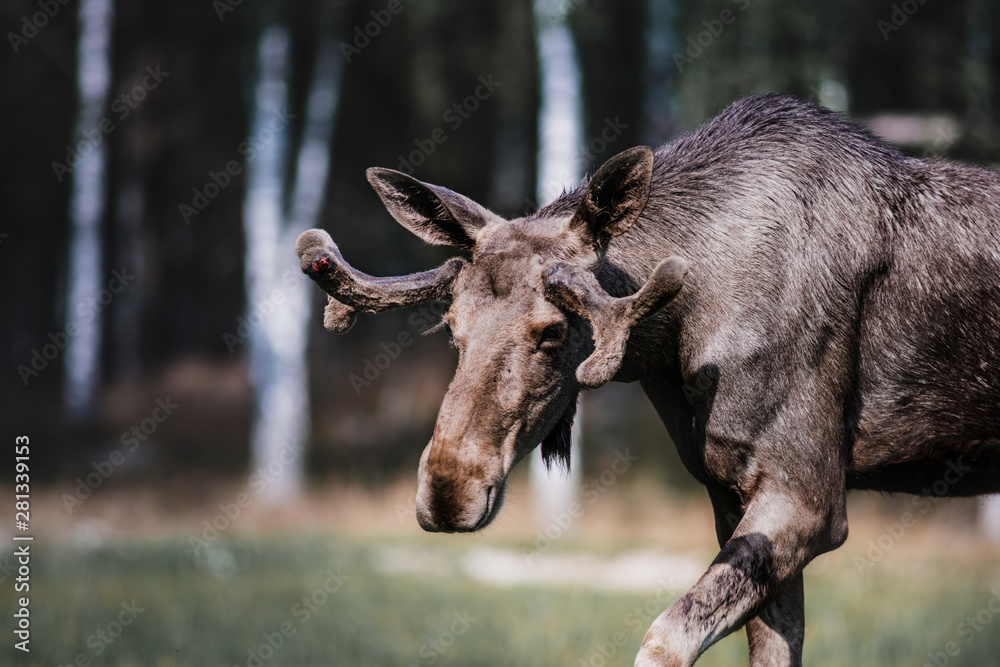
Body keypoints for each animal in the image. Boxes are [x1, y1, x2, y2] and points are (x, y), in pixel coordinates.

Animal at [294, 95, 1000, 667]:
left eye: (553, 330)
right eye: (451, 330)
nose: (446, 491)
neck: (672, 339)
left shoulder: (810, 494)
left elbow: (664, 640)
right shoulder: (733, 495)